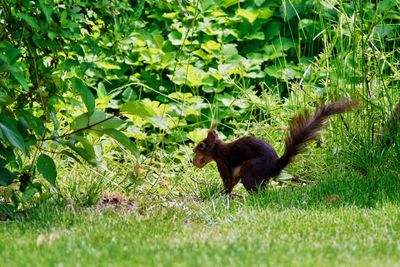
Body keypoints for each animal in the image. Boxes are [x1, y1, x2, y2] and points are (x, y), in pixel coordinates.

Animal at [193, 100, 356, 195]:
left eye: (201, 145)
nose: (193, 152)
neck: (218, 150)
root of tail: (274, 167)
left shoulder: (223, 162)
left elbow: (227, 181)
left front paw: (222, 194)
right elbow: (232, 181)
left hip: (249, 168)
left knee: (257, 191)